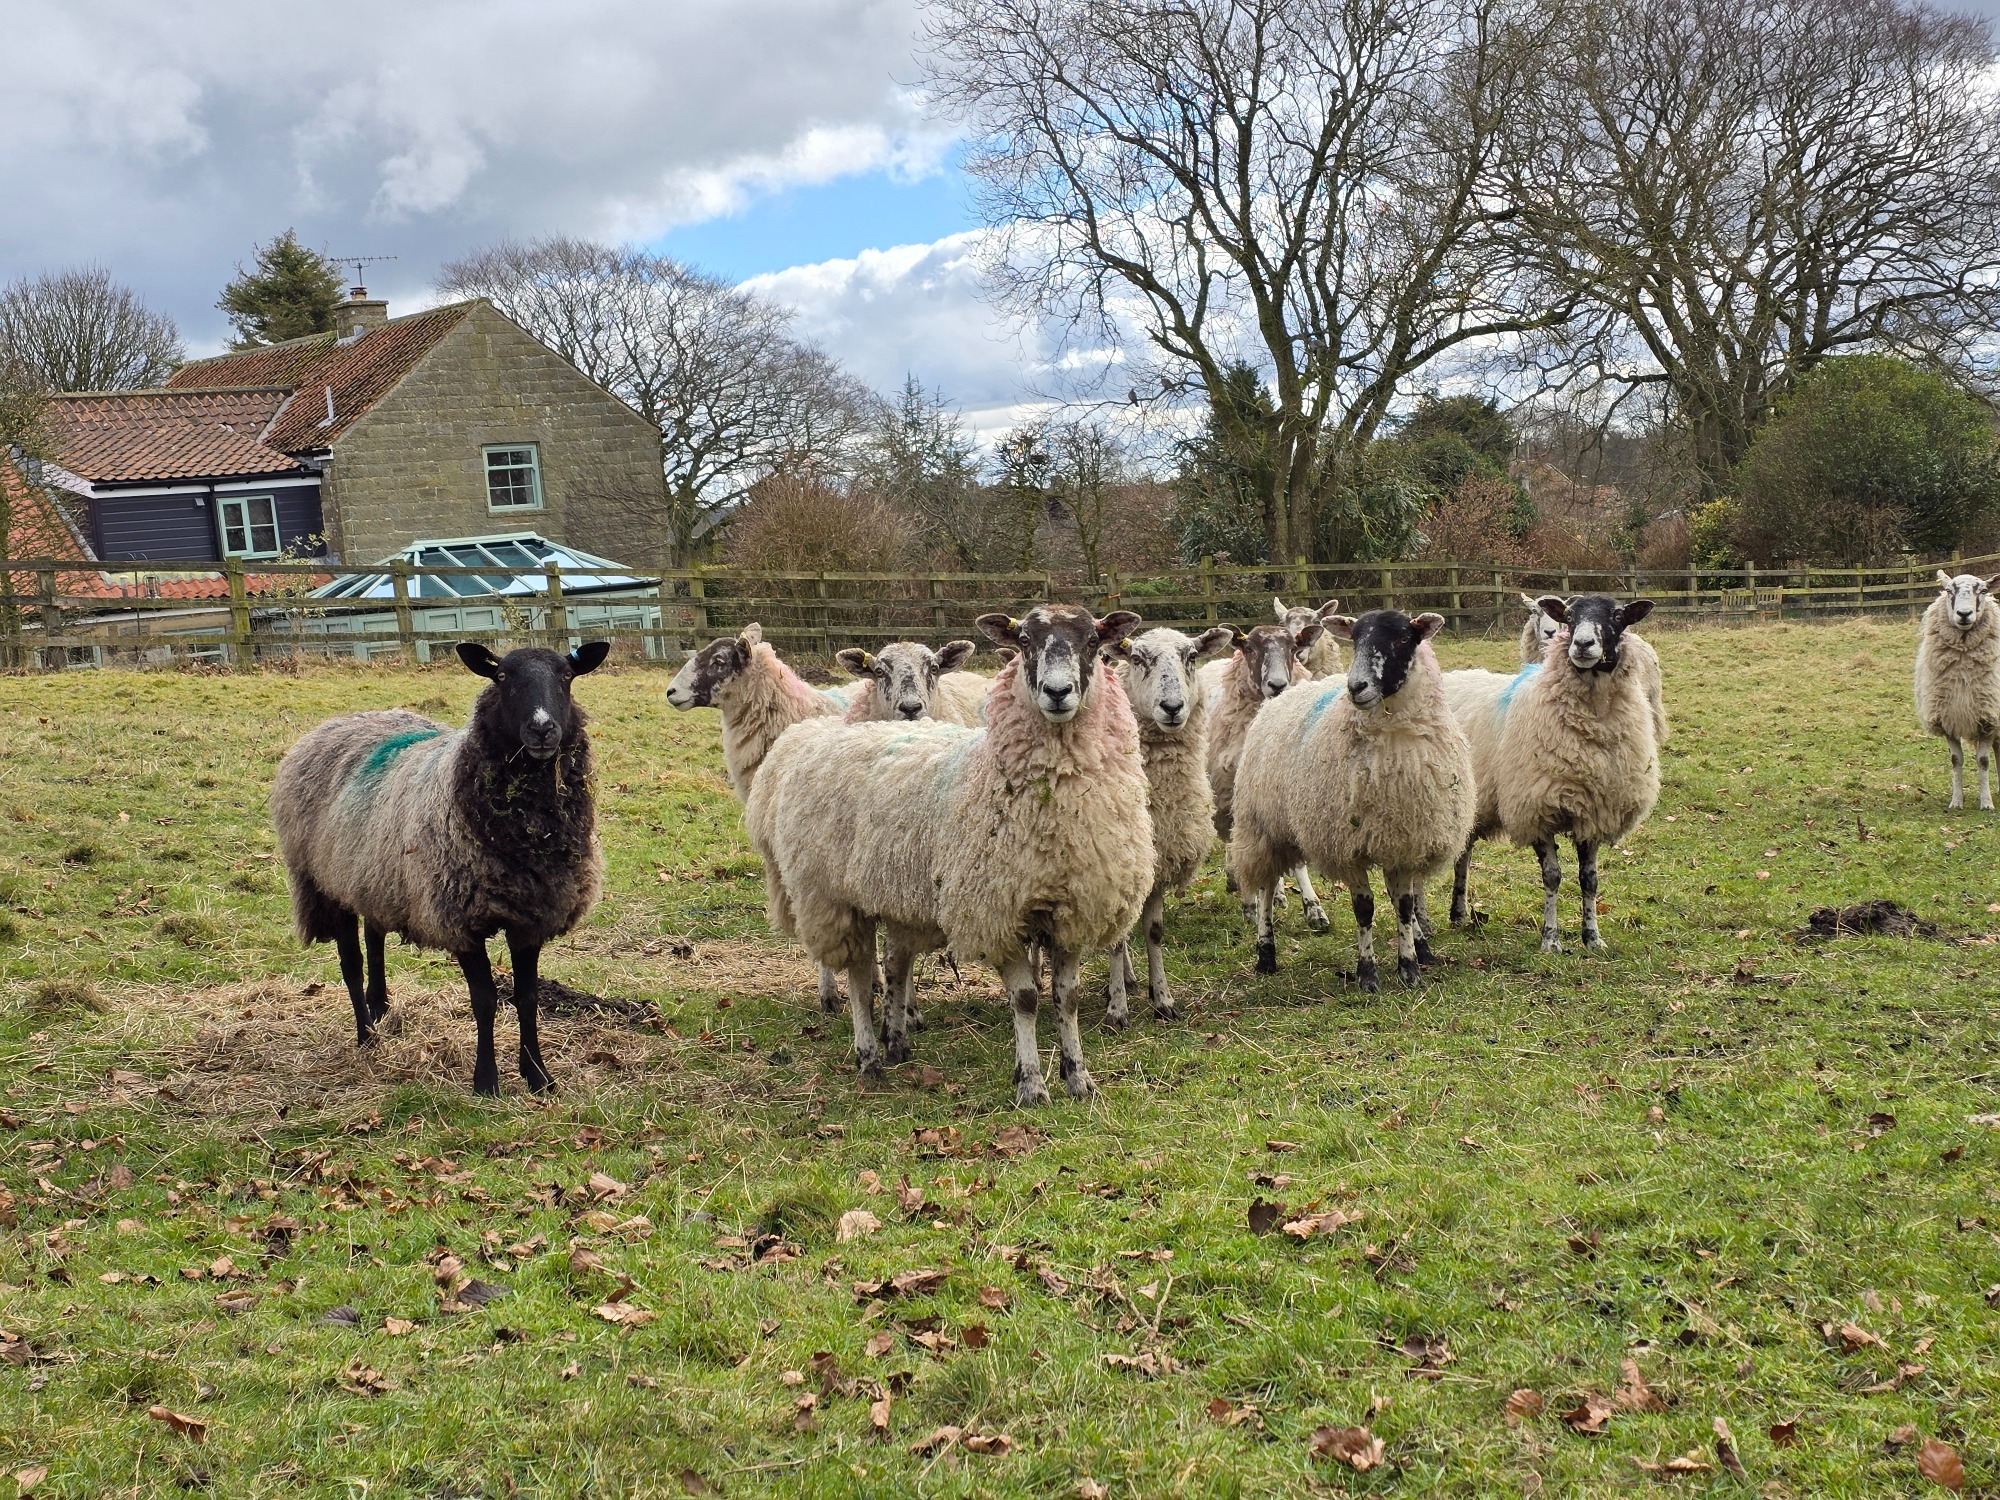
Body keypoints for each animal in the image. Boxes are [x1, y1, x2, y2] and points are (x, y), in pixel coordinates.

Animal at [272, 642, 609, 1095]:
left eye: (566, 676)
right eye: (501, 677)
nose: (543, 730)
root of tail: (338, 722)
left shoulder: (530, 916)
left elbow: (527, 998)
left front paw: (538, 1076)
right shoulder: (458, 917)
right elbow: (484, 1001)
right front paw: (486, 1082)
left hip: (377, 876)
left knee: (374, 936)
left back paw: (380, 1004)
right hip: (325, 883)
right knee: (351, 964)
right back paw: (366, 1036)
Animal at [1104, 624, 1237, 1026]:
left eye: (1191, 656)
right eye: (1136, 658)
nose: (1173, 708)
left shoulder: (1159, 864)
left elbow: (1154, 932)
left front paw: (1162, 998)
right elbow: (1117, 940)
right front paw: (1117, 1009)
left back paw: (1130, 977)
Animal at [1199, 621, 1331, 931]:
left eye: (1293, 648)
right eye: (1249, 648)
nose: (1277, 685)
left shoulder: (1281, 797)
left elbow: (1297, 863)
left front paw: (1313, 908)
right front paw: (1252, 906)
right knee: (1235, 843)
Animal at [1230, 611, 1475, 990]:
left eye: (1403, 638)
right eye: (1356, 639)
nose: (1356, 687)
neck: (1393, 748)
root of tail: (1284, 694)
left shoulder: (1403, 841)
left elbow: (1404, 906)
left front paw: (1410, 967)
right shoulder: (1349, 846)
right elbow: (1364, 909)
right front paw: (1367, 973)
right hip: (1263, 826)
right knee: (1267, 888)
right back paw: (1266, 954)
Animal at [1915, 570, 2000, 811]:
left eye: (1983, 590)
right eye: (1948, 590)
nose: (1964, 614)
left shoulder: (1989, 718)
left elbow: (1983, 761)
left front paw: (1986, 803)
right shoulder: (1948, 717)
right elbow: (1956, 760)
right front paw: (1956, 801)